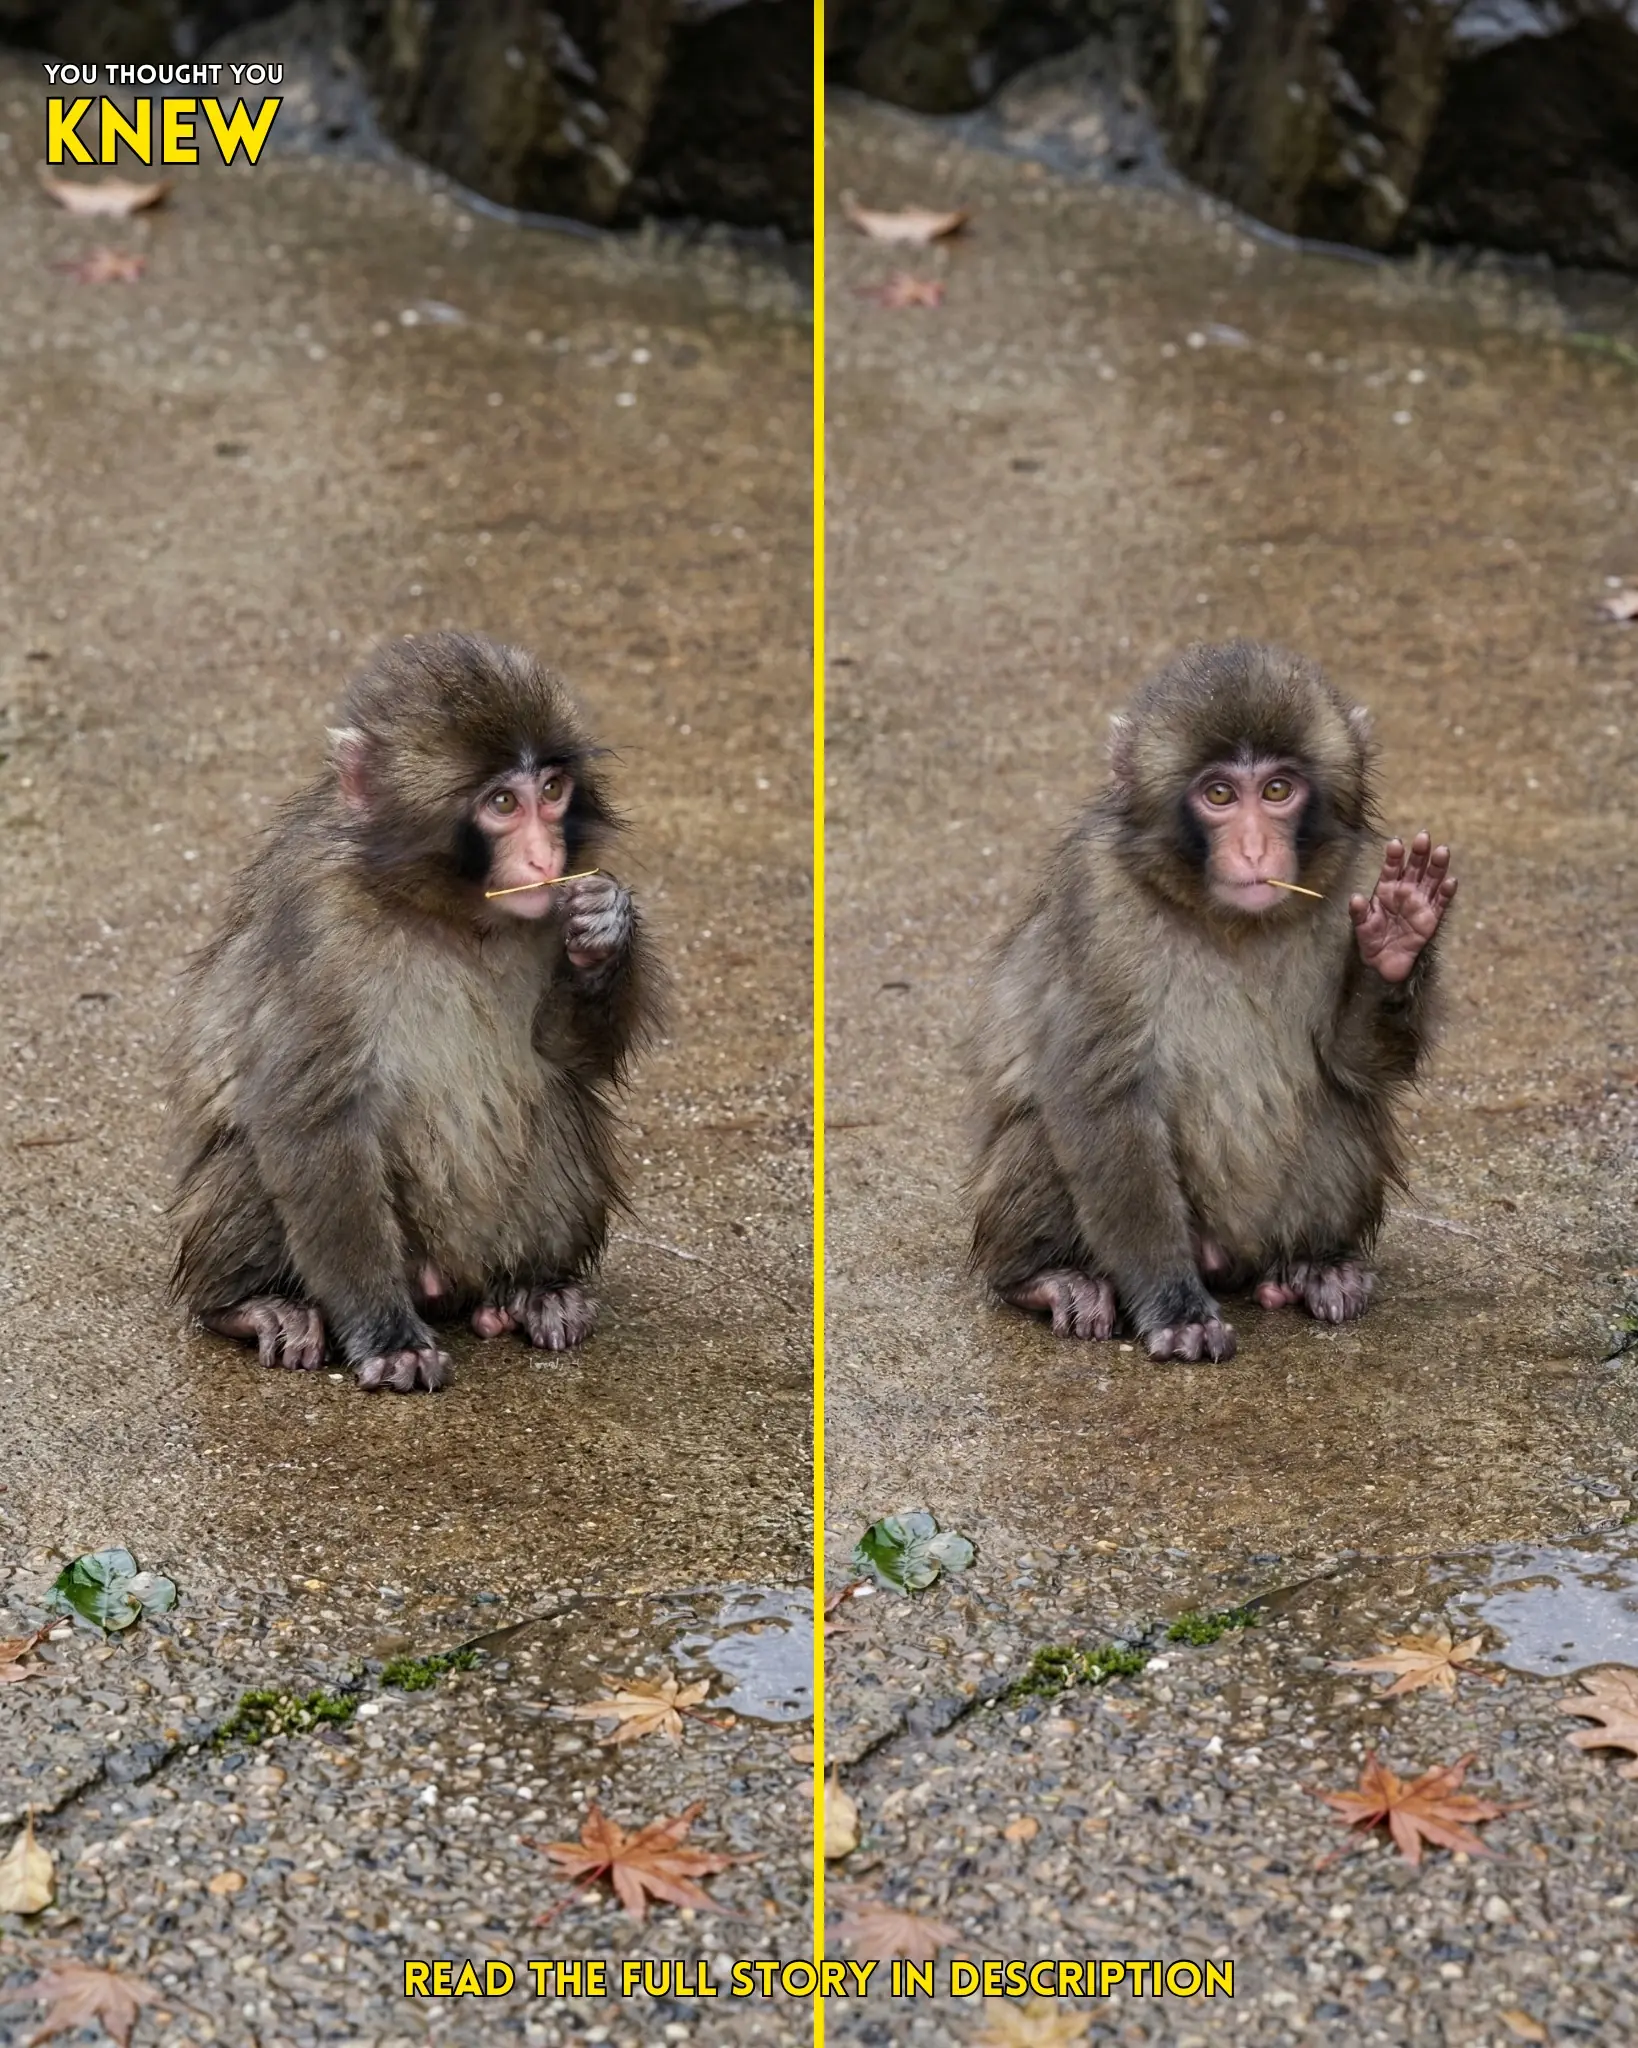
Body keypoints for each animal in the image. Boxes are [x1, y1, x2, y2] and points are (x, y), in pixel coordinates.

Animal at [166, 630, 662, 1393]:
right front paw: (386, 1335)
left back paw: (530, 1289)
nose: (544, 856)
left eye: (551, 792)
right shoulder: (319, 927)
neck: (447, 913)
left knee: (556, 1102)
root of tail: (447, 1284)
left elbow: (566, 1053)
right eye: (501, 802)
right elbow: (309, 1119)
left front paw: (607, 928)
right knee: (258, 1153)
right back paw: (250, 1305)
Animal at [967, 639, 1457, 1364]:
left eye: (1277, 790)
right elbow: (1100, 1096)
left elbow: (1352, 1064)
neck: (1223, 918)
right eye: (1219, 794)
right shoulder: (1099, 900)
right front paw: (1175, 1307)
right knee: (1045, 1132)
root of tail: (1231, 1260)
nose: (1254, 848)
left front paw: (1399, 937)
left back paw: (1312, 1266)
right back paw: (1046, 1278)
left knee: (1341, 1105)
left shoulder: (1356, 878)